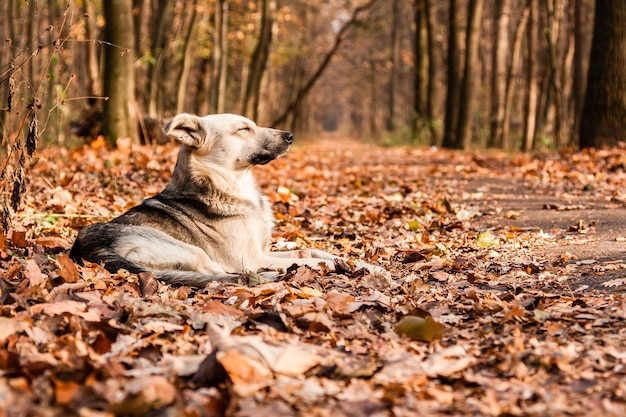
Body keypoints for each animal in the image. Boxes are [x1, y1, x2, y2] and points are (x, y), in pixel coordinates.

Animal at [68, 112, 382, 284]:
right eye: (244, 129)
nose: (290, 135)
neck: (234, 186)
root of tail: (85, 250)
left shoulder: (263, 250)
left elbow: (312, 252)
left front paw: (367, 265)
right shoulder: (252, 257)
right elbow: (313, 261)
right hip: (196, 254)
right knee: (221, 276)